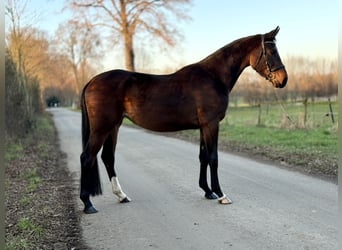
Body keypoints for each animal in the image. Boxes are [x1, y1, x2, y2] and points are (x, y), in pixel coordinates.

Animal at [79, 26, 286, 213]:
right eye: (271, 51)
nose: (283, 79)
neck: (213, 76)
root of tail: (91, 81)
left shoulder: (203, 126)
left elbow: (203, 157)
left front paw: (207, 191)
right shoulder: (211, 124)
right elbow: (213, 158)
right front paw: (221, 194)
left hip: (113, 126)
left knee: (108, 157)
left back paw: (121, 196)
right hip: (102, 128)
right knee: (87, 157)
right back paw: (88, 203)